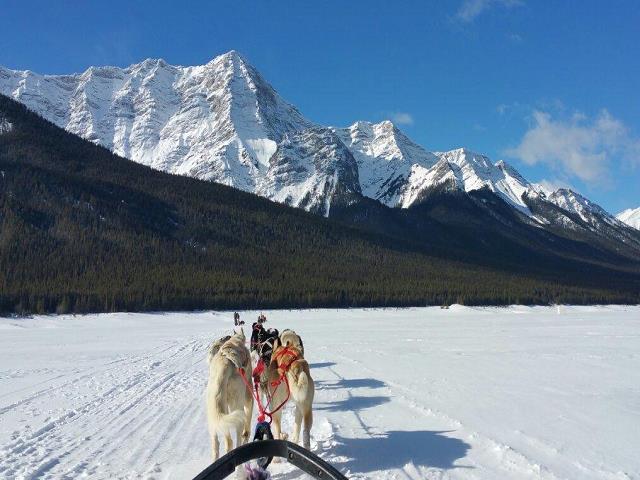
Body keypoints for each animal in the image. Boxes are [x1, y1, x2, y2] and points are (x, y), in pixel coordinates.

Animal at [206, 328, 254, 460]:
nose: (226, 336)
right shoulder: (249, 397)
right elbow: (247, 427)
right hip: (238, 407)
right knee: (234, 440)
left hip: (215, 417)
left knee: (218, 444)